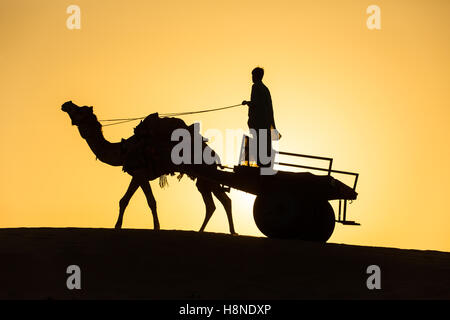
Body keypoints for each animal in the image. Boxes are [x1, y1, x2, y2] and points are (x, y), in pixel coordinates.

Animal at [61, 100, 237, 235]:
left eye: (80, 109)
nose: (66, 104)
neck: (123, 150)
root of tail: (214, 155)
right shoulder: (136, 175)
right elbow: (123, 200)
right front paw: (117, 226)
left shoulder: (141, 173)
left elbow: (151, 201)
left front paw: (156, 227)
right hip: (205, 178)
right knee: (218, 202)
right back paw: (219, 231)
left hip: (207, 175)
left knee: (218, 201)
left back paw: (223, 231)